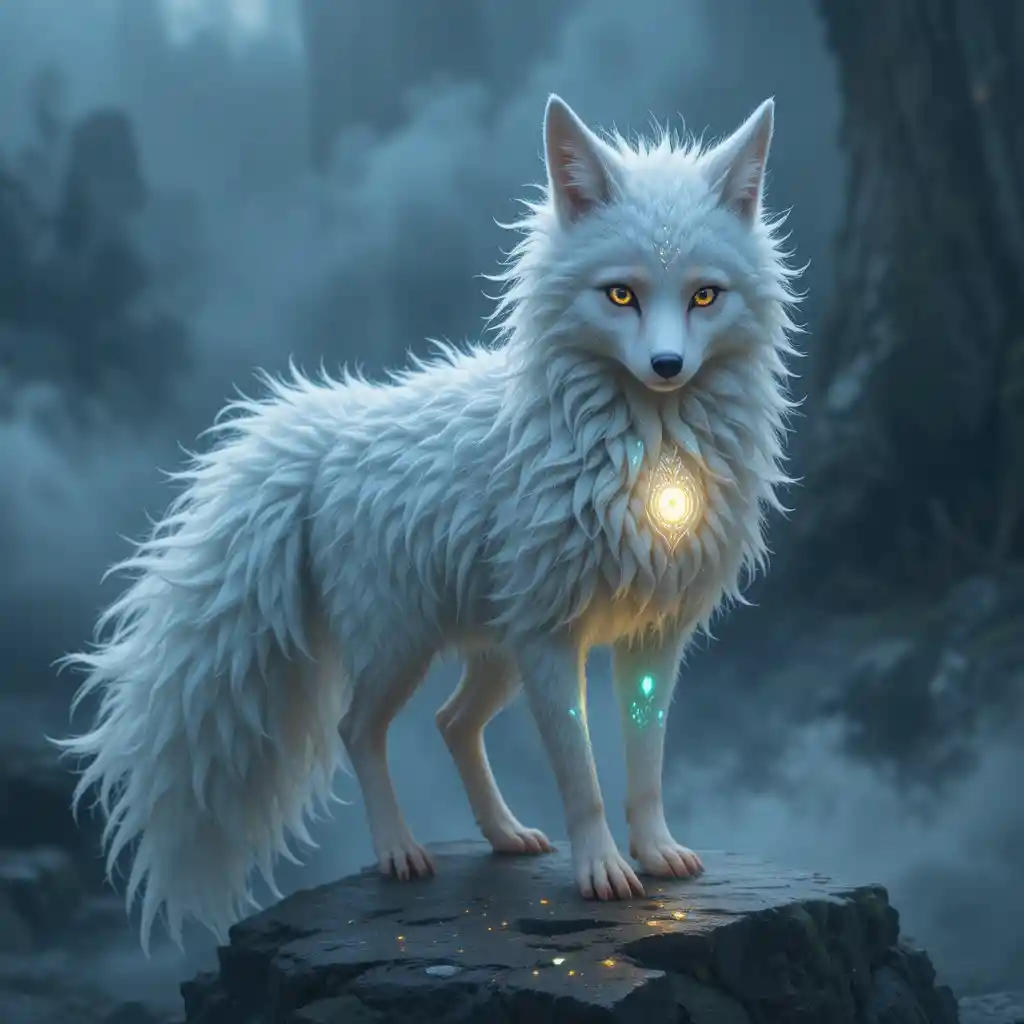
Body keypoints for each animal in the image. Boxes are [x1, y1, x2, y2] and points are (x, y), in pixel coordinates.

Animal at [56, 94, 801, 950]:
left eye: (705, 297)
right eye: (622, 296)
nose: (668, 367)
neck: (646, 453)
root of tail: (319, 433)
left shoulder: (653, 636)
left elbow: (644, 768)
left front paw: (654, 853)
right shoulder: (552, 638)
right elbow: (580, 776)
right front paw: (602, 872)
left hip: (493, 650)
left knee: (449, 723)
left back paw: (505, 835)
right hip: (406, 646)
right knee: (358, 730)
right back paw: (400, 853)